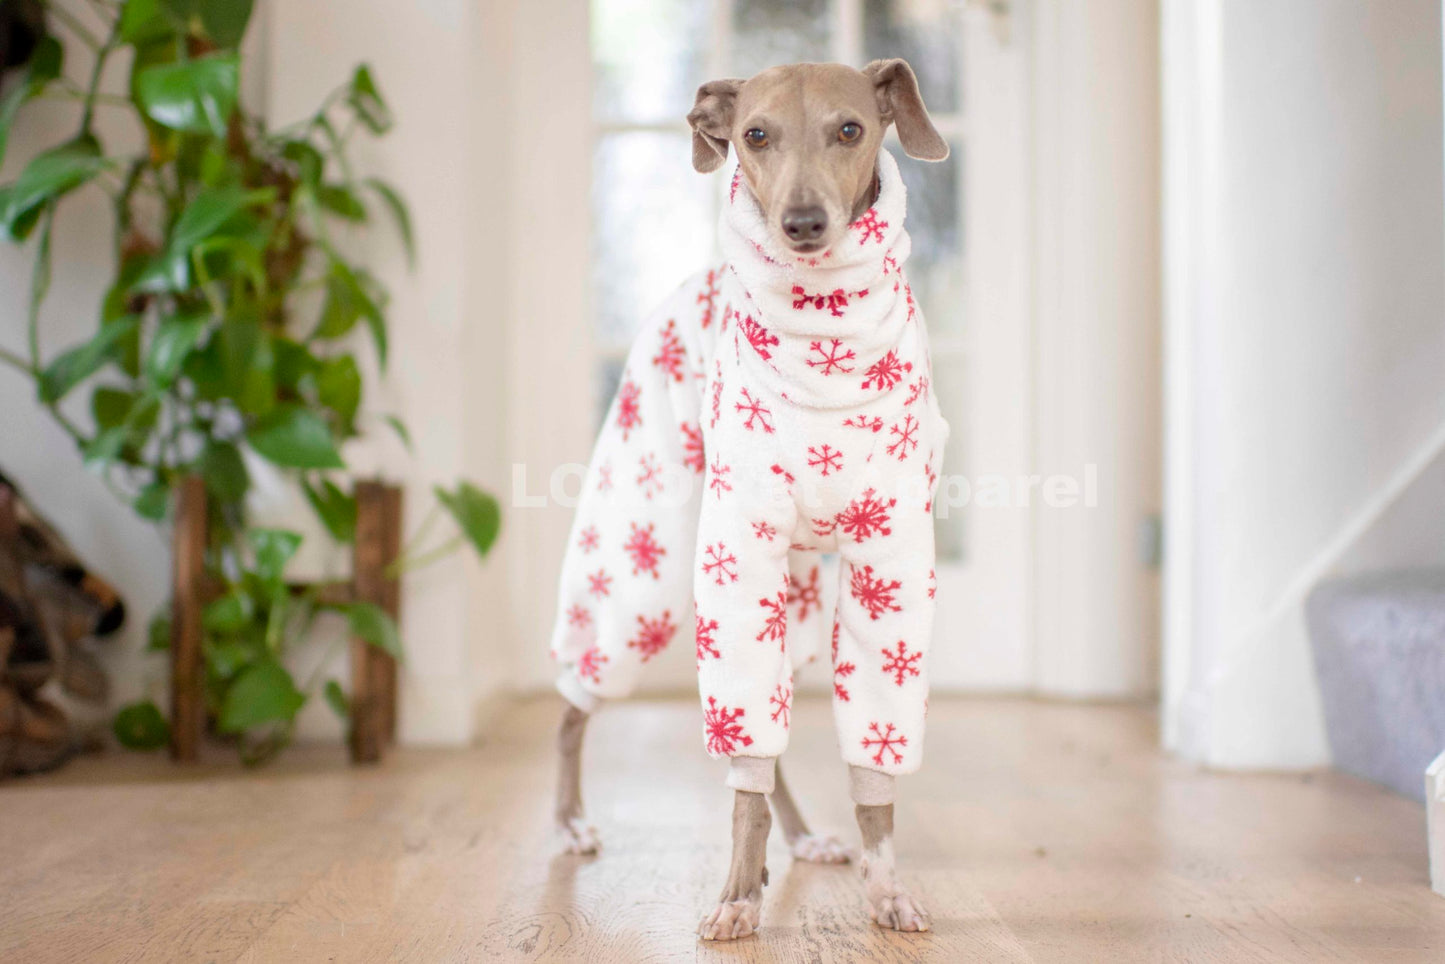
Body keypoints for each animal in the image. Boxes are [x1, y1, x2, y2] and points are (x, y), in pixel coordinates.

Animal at [546, 62, 942, 942]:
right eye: (754, 134)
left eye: (850, 129)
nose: (801, 223)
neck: (825, 339)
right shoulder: (737, 559)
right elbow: (742, 776)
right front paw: (733, 895)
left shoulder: (891, 567)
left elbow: (871, 771)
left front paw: (885, 888)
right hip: (644, 568)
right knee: (575, 703)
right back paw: (570, 821)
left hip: (793, 602)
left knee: (772, 737)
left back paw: (798, 840)